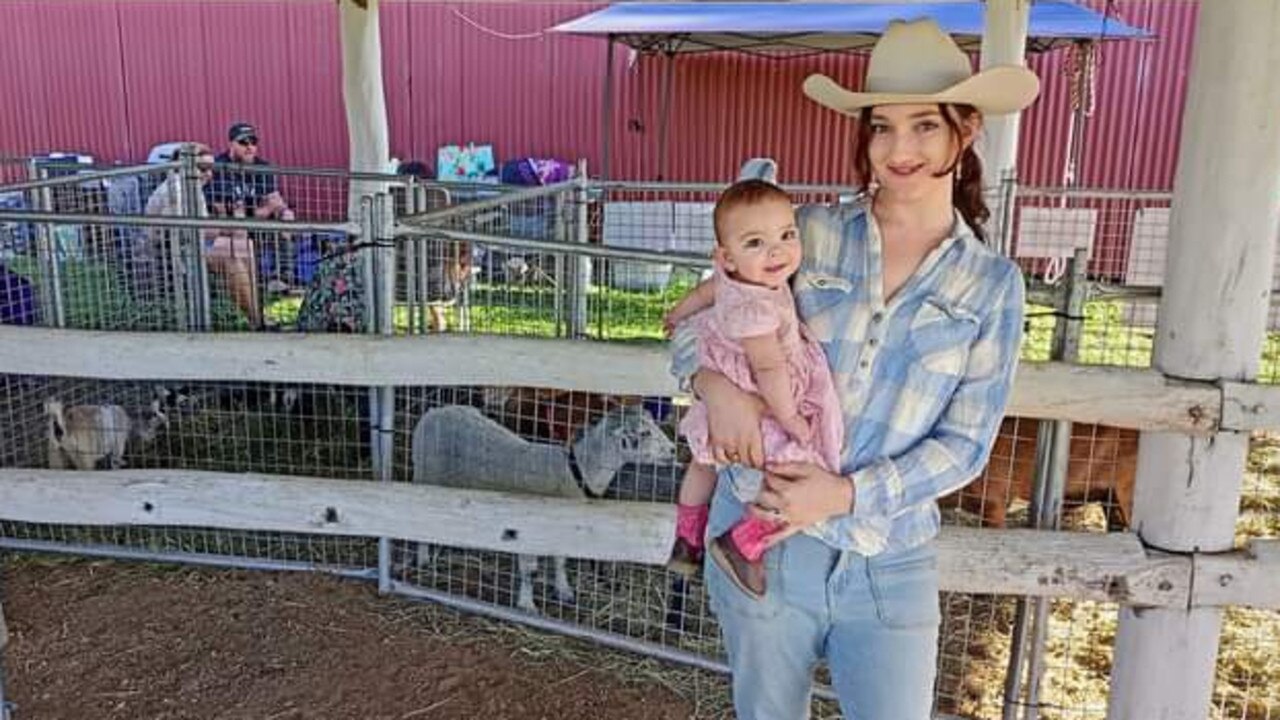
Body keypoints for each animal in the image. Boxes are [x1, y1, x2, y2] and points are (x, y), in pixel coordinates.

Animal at [412, 404, 680, 609]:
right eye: (643, 432)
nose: (673, 450)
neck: (576, 472)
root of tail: (433, 412)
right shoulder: (529, 531)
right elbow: (530, 572)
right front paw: (527, 605)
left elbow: (561, 560)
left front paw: (564, 591)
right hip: (426, 474)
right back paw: (424, 560)